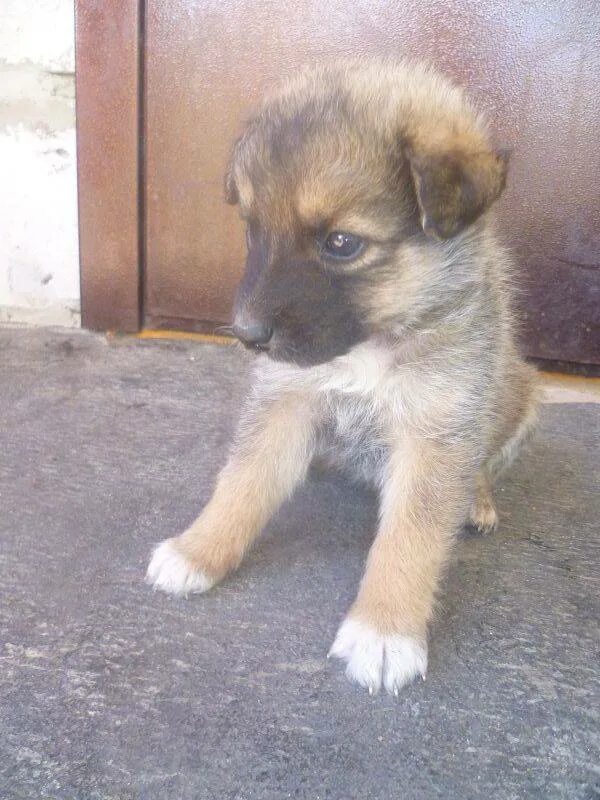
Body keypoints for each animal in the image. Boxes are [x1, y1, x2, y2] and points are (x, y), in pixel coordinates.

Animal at [146, 61, 540, 692]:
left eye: (341, 243)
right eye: (252, 229)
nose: (246, 334)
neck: (371, 345)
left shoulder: (436, 428)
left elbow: (410, 537)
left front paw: (384, 630)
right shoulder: (286, 400)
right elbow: (241, 484)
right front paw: (198, 549)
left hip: (521, 395)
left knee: (480, 464)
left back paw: (476, 500)